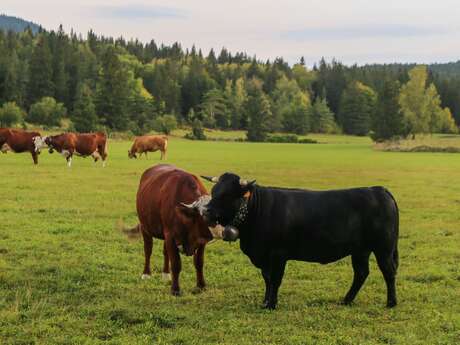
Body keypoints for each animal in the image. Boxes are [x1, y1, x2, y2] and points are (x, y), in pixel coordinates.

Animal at [121, 163, 213, 294]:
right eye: (204, 215)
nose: (211, 235)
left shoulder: (199, 241)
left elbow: (199, 262)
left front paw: (201, 285)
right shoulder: (171, 235)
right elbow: (176, 263)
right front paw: (175, 290)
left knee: (165, 252)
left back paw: (165, 273)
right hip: (145, 228)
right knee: (148, 250)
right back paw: (146, 274)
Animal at [201, 173, 398, 308]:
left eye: (227, 194)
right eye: (213, 191)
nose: (205, 211)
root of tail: (378, 189)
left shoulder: (278, 254)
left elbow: (275, 279)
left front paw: (271, 304)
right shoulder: (264, 257)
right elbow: (267, 278)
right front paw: (265, 302)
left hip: (384, 248)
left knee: (388, 271)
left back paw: (391, 302)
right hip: (360, 250)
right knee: (361, 273)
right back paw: (346, 300)